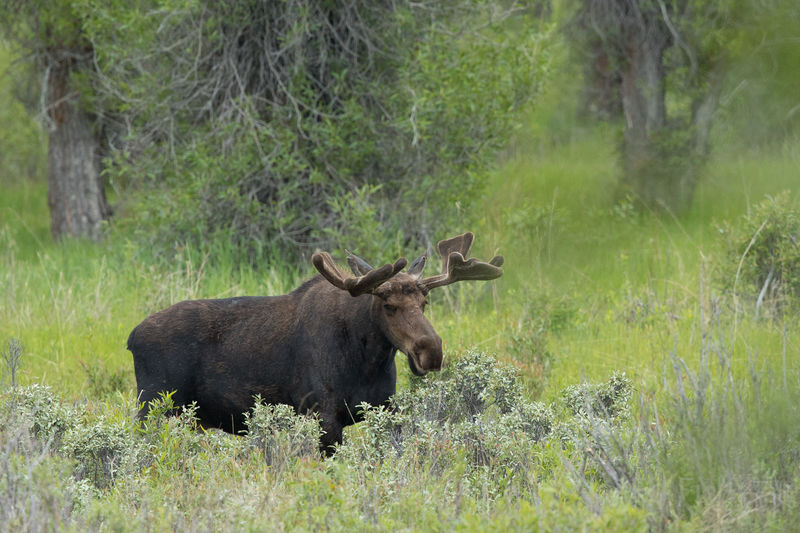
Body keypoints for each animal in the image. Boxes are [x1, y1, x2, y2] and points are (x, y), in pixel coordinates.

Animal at [127, 232, 503, 452]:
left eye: (424, 303)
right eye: (388, 306)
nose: (431, 351)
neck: (368, 361)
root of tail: (131, 338)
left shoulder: (385, 408)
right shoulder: (323, 414)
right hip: (152, 405)